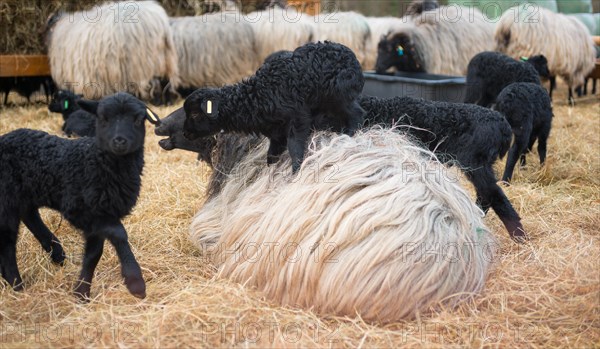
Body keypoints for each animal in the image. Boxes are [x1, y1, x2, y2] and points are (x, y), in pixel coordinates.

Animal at [0, 91, 162, 298]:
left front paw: (81, 292)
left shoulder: (102, 214)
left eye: (138, 119)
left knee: (29, 216)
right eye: (103, 118)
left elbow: (94, 254)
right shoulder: (81, 210)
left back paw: (55, 254)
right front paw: (135, 282)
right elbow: (118, 233)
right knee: (7, 242)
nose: (119, 141)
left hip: (23, 195)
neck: (97, 162)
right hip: (7, 199)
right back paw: (18, 286)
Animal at [180, 41, 364, 172]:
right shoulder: (276, 133)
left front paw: (296, 171)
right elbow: (271, 156)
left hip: (340, 96)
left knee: (357, 113)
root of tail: (353, 58)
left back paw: (349, 134)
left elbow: (295, 148)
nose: (185, 133)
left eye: (195, 114)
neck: (257, 96)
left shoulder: (298, 118)